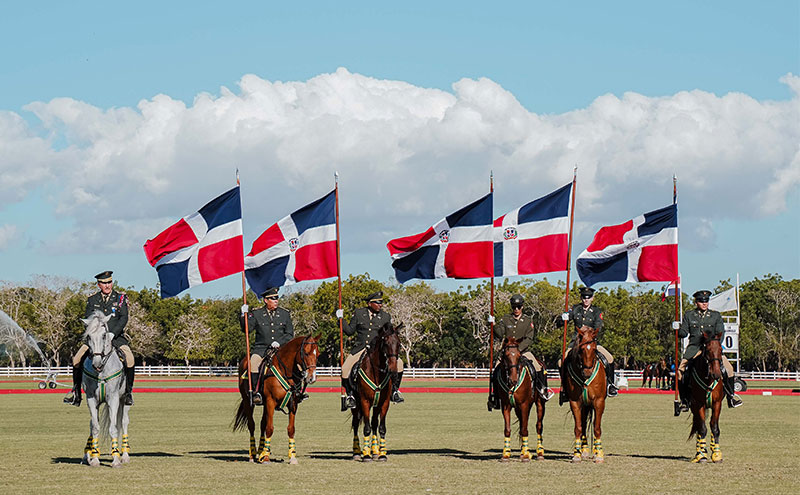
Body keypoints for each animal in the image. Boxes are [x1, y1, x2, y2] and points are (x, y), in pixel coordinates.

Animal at [79, 310, 131, 468]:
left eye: (104, 335)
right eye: (88, 336)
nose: (96, 363)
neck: (101, 371)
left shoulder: (113, 399)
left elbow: (113, 428)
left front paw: (116, 460)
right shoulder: (91, 399)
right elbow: (95, 427)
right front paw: (94, 457)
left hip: (124, 400)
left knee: (123, 422)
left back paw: (124, 455)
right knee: (93, 424)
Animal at [350, 324, 404, 464]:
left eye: (399, 344)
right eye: (385, 343)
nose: (393, 371)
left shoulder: (384, 404)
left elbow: (381, 428)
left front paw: (382, 454)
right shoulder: (365, 402)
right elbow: (366, 428)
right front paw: (366, 455)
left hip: (376, 405)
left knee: (374, 423)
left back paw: (374, 451)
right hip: (356, 406)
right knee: (356, 424)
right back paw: (357, 452)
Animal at [564, 328, 608, 464]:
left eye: (594, 349)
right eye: (581, 349)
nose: (588, 372)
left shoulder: (599, 402)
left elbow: (597, 427)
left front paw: (599, 455)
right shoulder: (575, 402)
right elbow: (578, 428)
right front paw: (577, 455)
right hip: (584, 405)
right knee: (583, 425)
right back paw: (584, 451)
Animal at [688, 334, 724, 464]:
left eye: (721, 350)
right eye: (707, 350)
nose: (716, 374)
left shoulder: (717, 403)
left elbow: (714, 427)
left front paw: (717, 454)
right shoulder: (699, 404)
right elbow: (703, 429)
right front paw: (702, 455)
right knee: (699, 426)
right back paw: (700, 452)